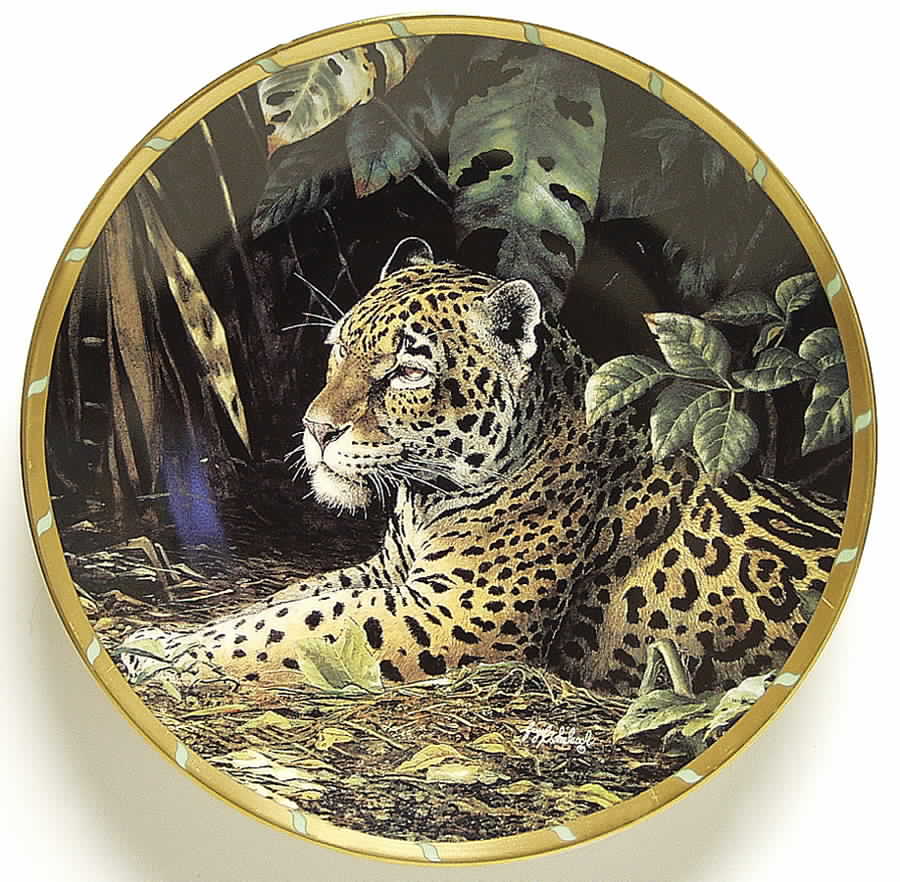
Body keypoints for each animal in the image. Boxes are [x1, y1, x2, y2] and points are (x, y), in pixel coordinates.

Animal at [118, 236, 845, 696]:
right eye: (337, 349)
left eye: (408, 372)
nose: (315, 429)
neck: (421, 500)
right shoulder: (388, 574)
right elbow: (284, 602)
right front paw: (165, 636)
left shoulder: (453, 612)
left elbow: (292, 630)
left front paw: (165, 659)